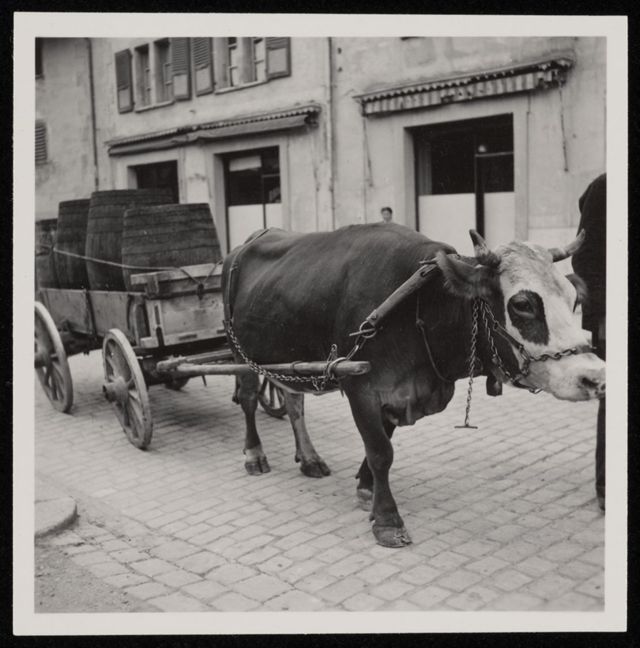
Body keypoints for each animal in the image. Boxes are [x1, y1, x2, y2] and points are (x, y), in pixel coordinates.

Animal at [222, 223, 605, 547]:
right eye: (523, 304)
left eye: (574, 298)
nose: (595, 377)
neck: (421, 309)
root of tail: (249, 240)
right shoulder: (361, 386)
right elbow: (381, 451)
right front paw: (387, 519)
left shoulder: (397, 395)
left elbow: (382, 444)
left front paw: (366, 489)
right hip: (239, 352)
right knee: (249, 399)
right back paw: (255, 454)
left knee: (293, 402)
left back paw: (310, 458)